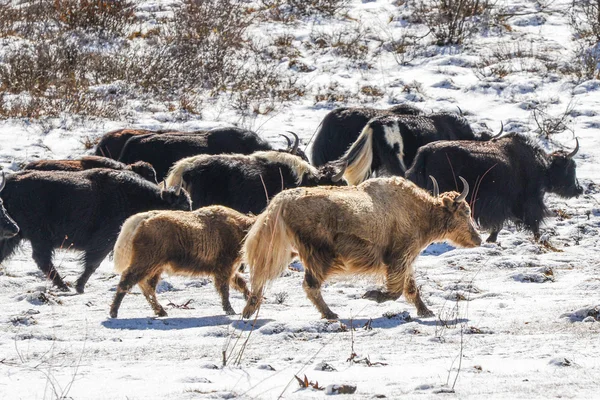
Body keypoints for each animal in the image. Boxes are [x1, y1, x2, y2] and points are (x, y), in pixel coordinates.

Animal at [109, 206, 254, 318]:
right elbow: (225, 289)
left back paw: (161, 311)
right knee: (128, 280)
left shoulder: (229, 270)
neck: (240, 229)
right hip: (147, 261)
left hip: (155, 267)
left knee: (146, 286)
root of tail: (141, 220)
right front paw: (230, 310)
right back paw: (113, 312)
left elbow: (240, 283)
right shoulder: (224, 268)